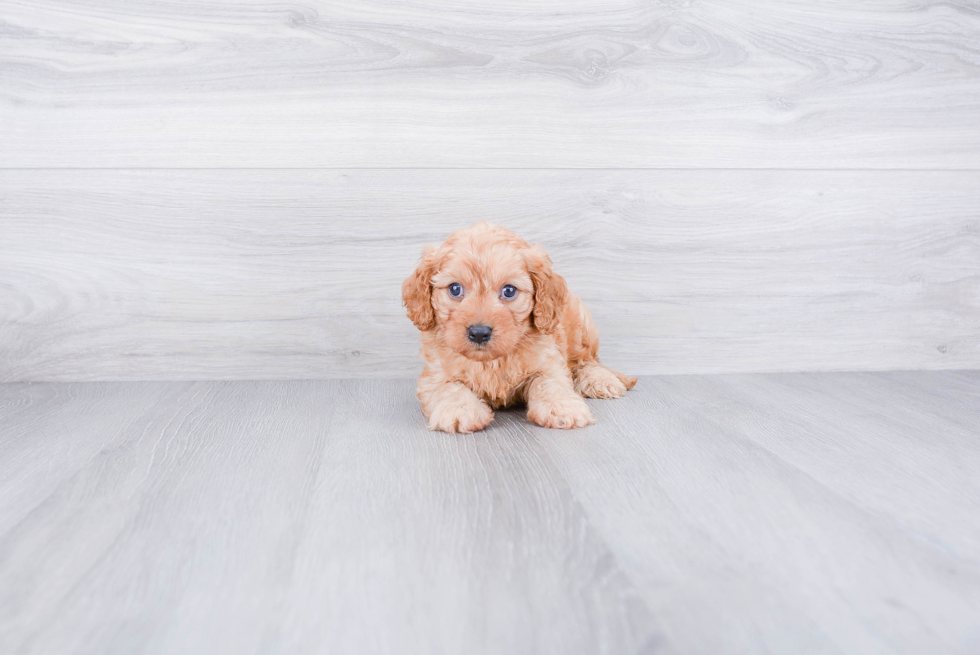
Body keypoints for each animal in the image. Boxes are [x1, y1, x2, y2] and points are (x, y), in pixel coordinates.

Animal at [402, 223, 640, 434]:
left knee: (588, 360)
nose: (479, 333)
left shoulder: (548, 361)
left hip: (581, 326)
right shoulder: (434, 375)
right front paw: (461, 411)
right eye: (455, 289)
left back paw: (600, 380)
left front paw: (562, 407)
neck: (491, 361)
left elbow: (550, 383)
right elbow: (449, 388)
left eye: (509, 291)